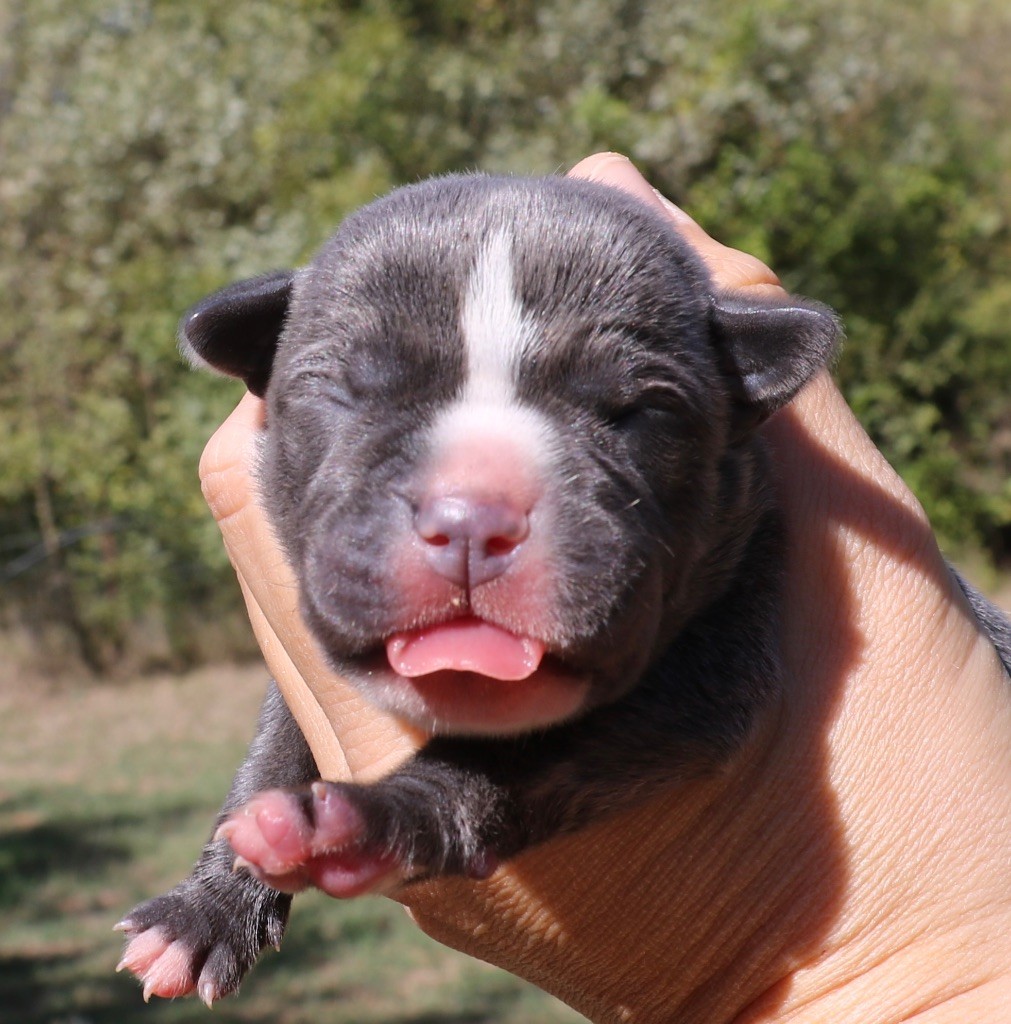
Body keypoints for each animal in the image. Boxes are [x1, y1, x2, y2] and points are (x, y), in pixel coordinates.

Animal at [114, 172, 1007, 1003]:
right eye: (345, 390)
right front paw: (206, 906)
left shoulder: (708, 672)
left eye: (641, 409)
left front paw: (367, 823)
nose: (472, 516)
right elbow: (275, 748)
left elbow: (499, 766)